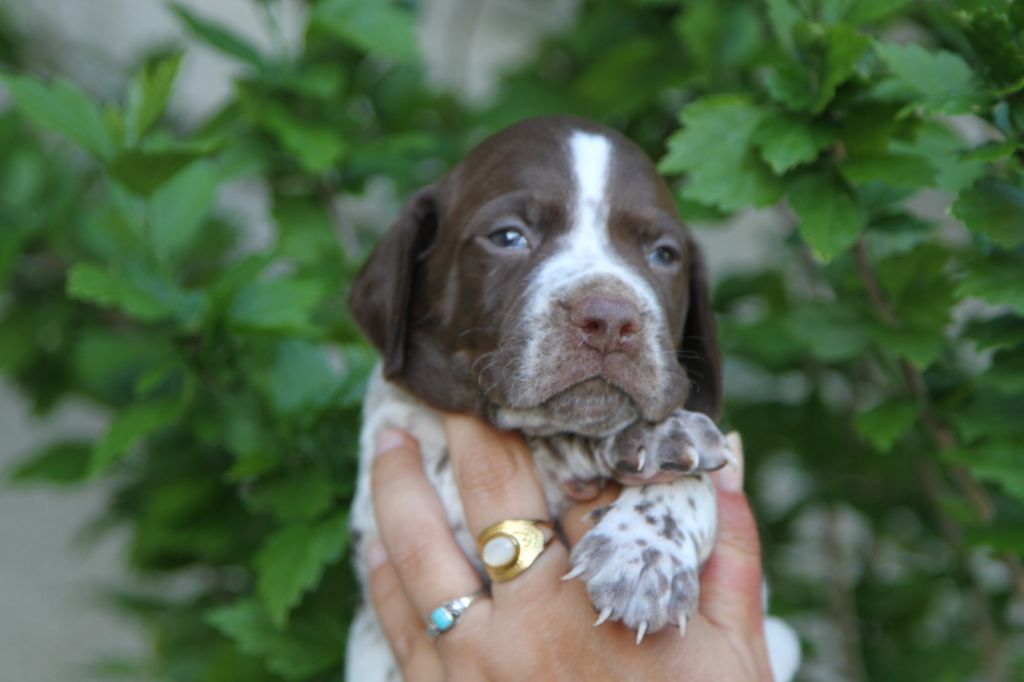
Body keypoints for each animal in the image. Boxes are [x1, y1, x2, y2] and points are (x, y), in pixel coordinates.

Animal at [345, 116, 799, 681]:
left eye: (664, 254)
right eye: (508, 237)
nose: (610, 319)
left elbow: (696, 483)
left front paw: (644, 552)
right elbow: (547, 445)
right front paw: (645, 446)